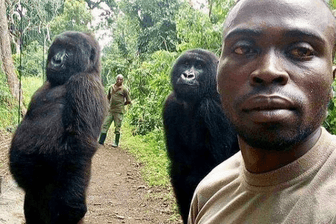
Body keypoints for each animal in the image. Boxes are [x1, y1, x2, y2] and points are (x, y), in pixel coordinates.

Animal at [9, 32, 107, 224]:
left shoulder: (85, 84)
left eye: (69, 50)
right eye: (58, 48)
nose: (56, 60)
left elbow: (80, 145)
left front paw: (73, 204)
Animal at [163, 48, 239, 222]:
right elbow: (180, 170)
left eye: (199, 66)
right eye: (185, 63)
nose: (187, 75)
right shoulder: (170, 104)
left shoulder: (213, 107)